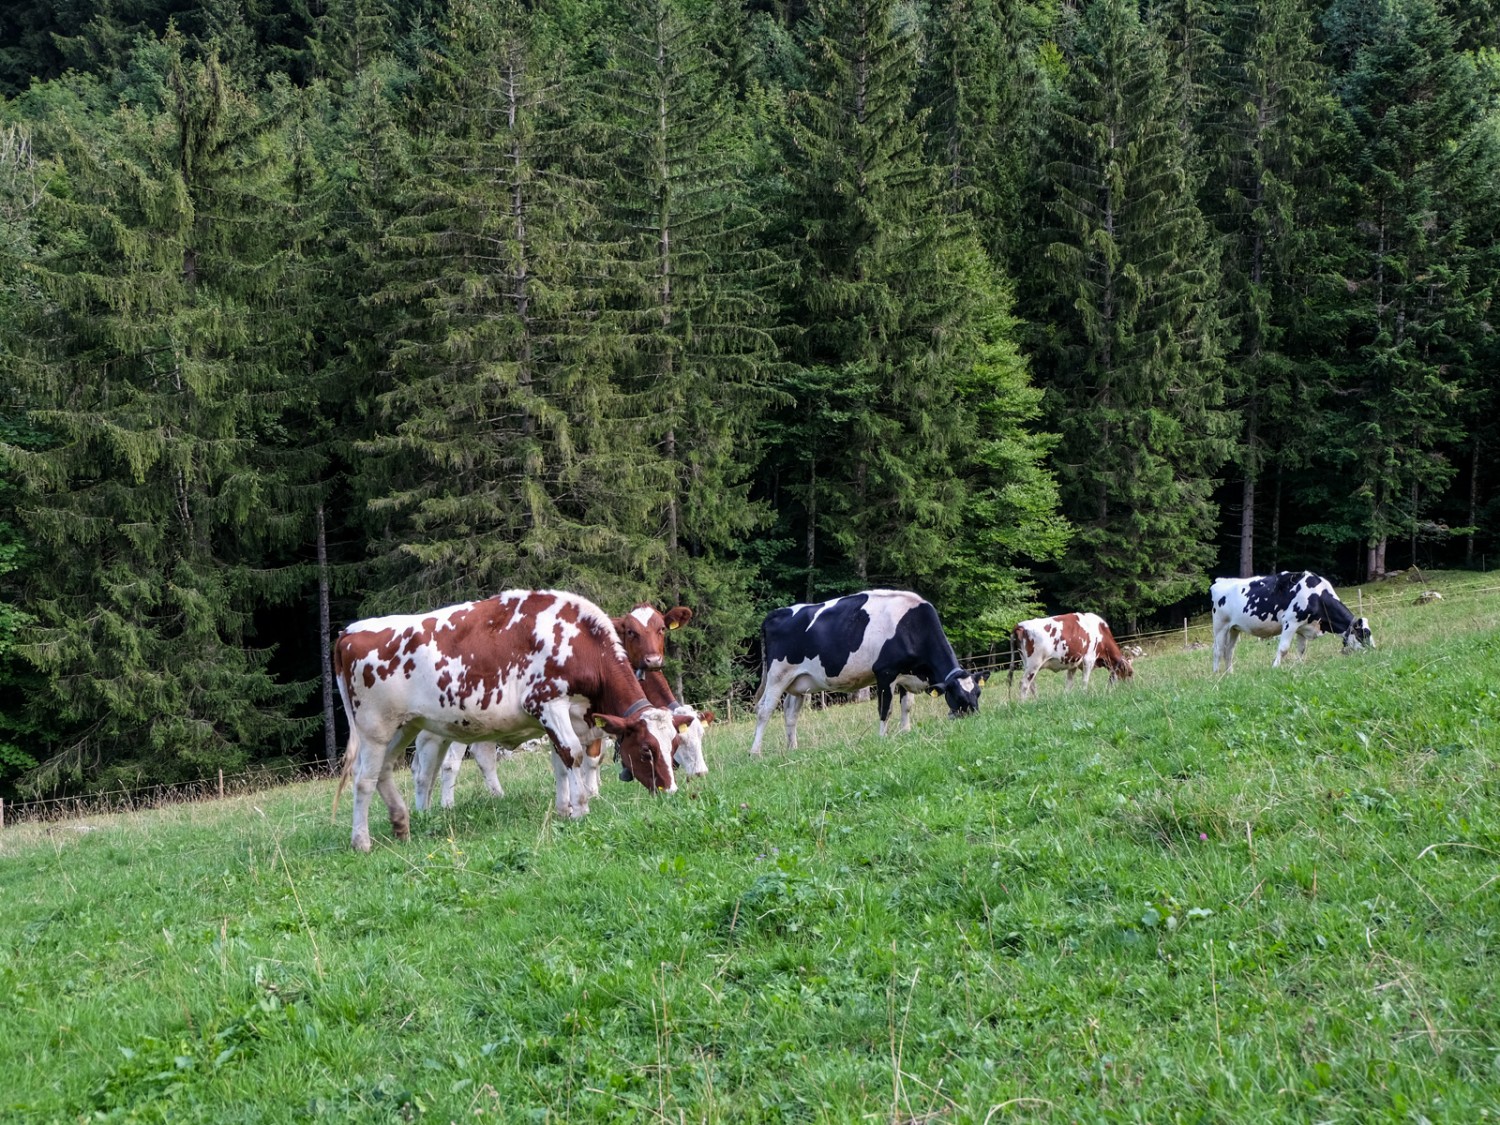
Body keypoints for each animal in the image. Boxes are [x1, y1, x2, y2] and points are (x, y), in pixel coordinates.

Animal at [334, 594, 690, 852]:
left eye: (674, 745)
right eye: (646, 750)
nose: (671, 791)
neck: (580, 643)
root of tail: (349, 632)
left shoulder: (564, 716)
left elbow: (561, 762)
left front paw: (564, 809)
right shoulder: (548, 703)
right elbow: (573, 755)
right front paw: (580, 809)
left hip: (404, 725)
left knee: (385, 771)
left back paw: (400, 823)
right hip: (374, 727)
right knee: (364, 780)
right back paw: (361, 841)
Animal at [750, 591, 984, 759]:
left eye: (978, 693)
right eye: (958, 696)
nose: (974, 716)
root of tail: (777, 613)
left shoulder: (906, 675)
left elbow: (907, 706)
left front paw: (906, 732)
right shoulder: (885, 672)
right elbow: (885, 709)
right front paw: (883, 738)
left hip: (798, 682)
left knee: (790, 713)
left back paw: (793, 749)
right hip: (777, 675)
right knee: (764, 710)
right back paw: (755, 753)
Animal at [1206, 567, 1374, 675]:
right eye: (1363, 634)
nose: (1373, 650)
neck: (1316, 597)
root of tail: (1220, 581)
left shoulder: (1303, 627)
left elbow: (1301, 649)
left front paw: (1298, 665)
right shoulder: (1290, 622)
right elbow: (1284, 648)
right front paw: (1275, 667)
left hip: (1234, 628)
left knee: (1229, 651)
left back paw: (1230, 674)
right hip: (1220, 626)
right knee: (1218, 650)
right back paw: (1216, 675)